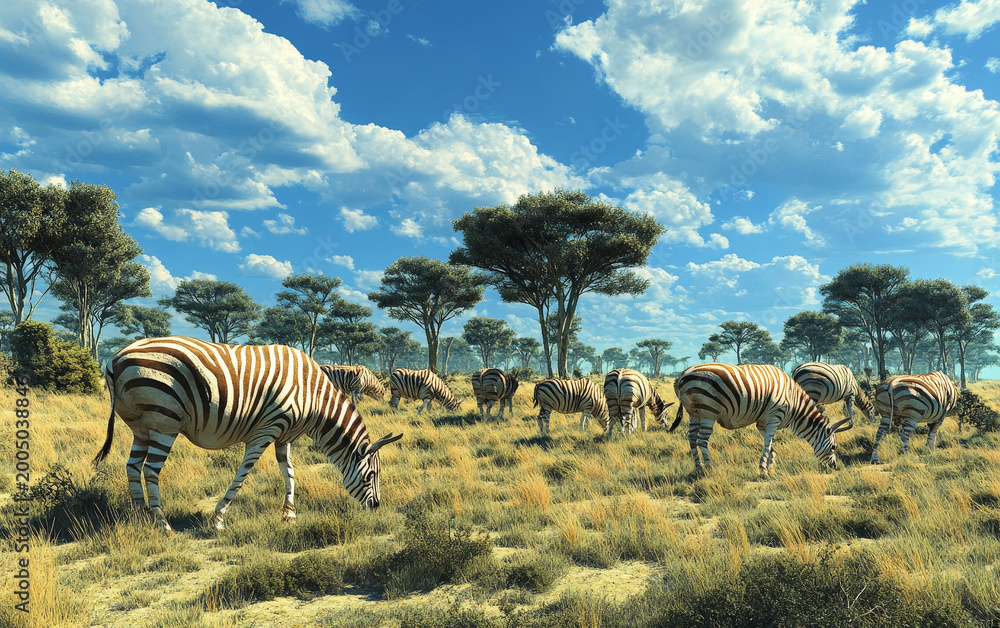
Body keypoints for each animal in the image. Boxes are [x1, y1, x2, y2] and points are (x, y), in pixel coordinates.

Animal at [93, 337, 403, 532]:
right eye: (371, 477)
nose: (377, 507)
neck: (313, 395)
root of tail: (116, 358)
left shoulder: (284, 437)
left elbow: (289, 473)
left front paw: (289, 514)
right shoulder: (267, 430)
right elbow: (243, 474)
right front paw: (218, 518)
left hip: (141, 426)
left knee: (132, 466)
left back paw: (139, 517)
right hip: (164, 421)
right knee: (150, 471)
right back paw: (162, 524)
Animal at [669, 363, 852, 476]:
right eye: (834, 447)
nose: (834, 467)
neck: (793, 403)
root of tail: (684, 373)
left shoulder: (763, 422)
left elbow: (769, 443)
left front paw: (771, 465)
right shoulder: (774, 416)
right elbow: (767, 443)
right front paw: (763, 469)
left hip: (694, 413)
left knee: (692, 438)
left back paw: (698, 468)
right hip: (708, 412)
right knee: (702, 440)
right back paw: (710, 468)